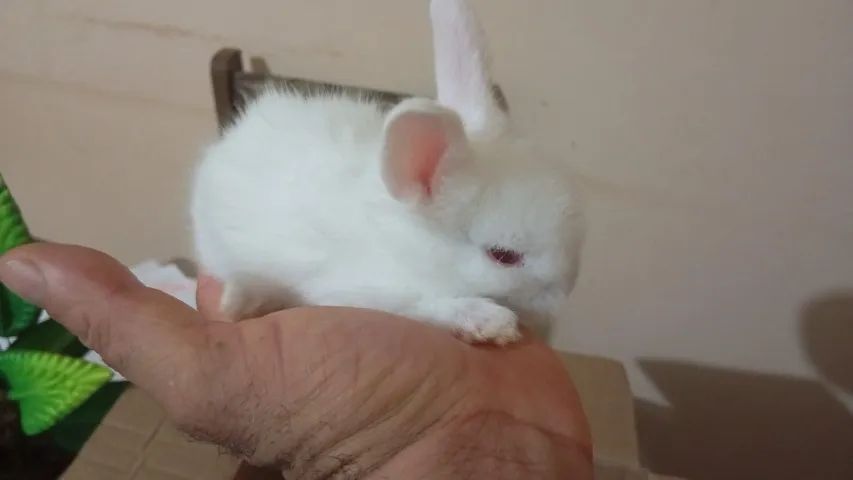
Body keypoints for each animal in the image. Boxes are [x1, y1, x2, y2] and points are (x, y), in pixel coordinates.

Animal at [190, 0, 584, 344]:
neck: (411, 246)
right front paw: (492, 323)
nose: (563, 294)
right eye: (503, 256)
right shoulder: (367, 291)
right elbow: (430, 305)